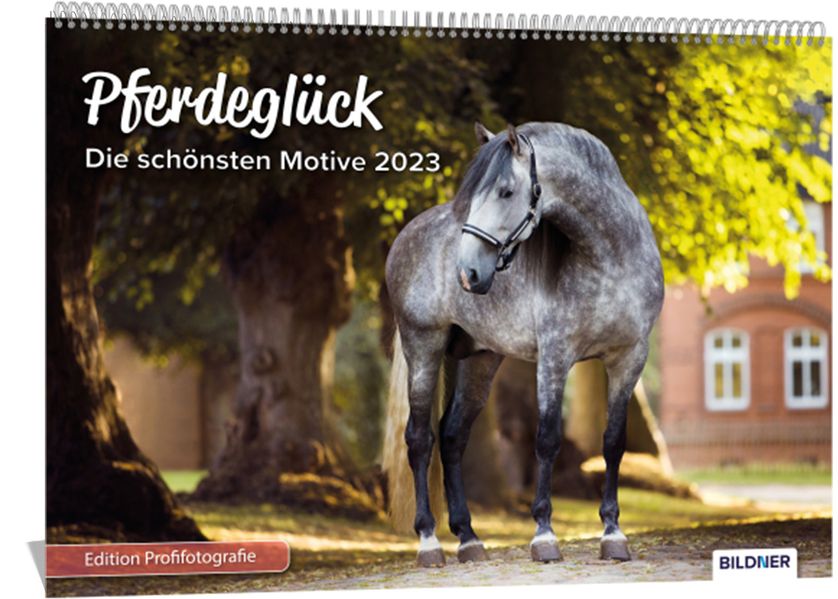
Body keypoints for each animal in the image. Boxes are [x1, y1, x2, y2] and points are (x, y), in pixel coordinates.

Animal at [382, 121, 664, 567]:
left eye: (504, 191)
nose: (467, 274)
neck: (611, 259)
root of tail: (407, 235)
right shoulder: (555, 355)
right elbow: (546, 439)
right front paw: (544, 535)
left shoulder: (630, 359)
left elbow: (613, 442)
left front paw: (613, 533)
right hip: (422, 346)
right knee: (419, 439)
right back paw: (429, 541)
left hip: (480, 358)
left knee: (452, 436)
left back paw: (469, 539)